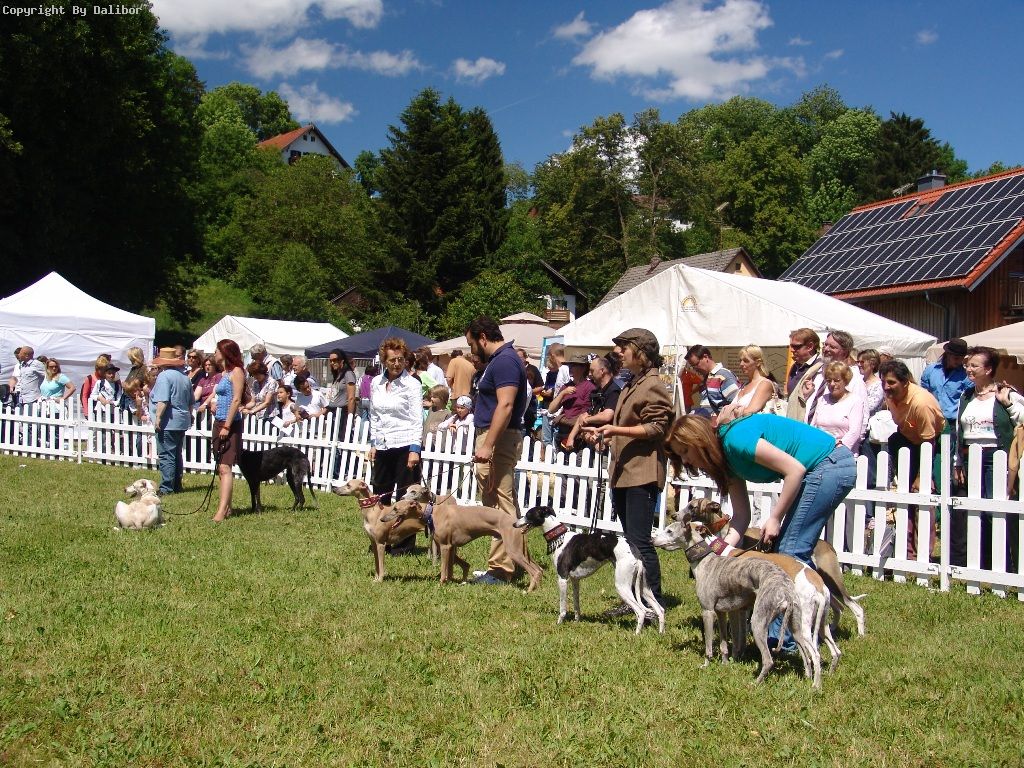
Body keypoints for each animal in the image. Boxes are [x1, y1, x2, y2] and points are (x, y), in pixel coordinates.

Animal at [389, 484, 544, 591]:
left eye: (396, 508)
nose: (400, 497)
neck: (432, 510)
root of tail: (518, 522)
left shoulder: (445, 546)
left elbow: (444, 570)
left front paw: (441, 584)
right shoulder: (451, 547)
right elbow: (451, 568)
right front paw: (452, 581)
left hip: (513, 550)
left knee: (534, 571)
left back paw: (528, 591)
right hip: (522, 551)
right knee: (539, 569)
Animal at [513, 505, 664, 634]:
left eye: (528, 514)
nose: (514, 524)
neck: (560, 537)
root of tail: (636, 553)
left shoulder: (562, 578)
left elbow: (562, 607)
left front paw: (559, 623)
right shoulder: (575, 580)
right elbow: (576, 604)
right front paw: (577, 621)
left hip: (622, 586)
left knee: (641, 611)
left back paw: (636, 635)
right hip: (644, 588)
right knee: (660, 609)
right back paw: (661, 633)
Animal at [652, 515, 821, 689]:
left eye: (669, 531)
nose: (652, 539)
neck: (705, 561)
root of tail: (784, 589)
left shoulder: (708, 611)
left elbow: (708, 646)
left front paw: (706, 664)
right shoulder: (721, 612)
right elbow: (724, 644)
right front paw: (725, 664)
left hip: (758, 623)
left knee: (769, 660)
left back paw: (755, 683)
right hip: (795, 627)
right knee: (808, 655)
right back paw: (811, 682)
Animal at [680, 497, 866, 637]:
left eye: (692, 506)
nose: (675, 515)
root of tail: (828, 545)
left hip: (833, 580)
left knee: (854, 606)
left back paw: (860, 635)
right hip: (824, 584)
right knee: (839, 607)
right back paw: (832, 629)